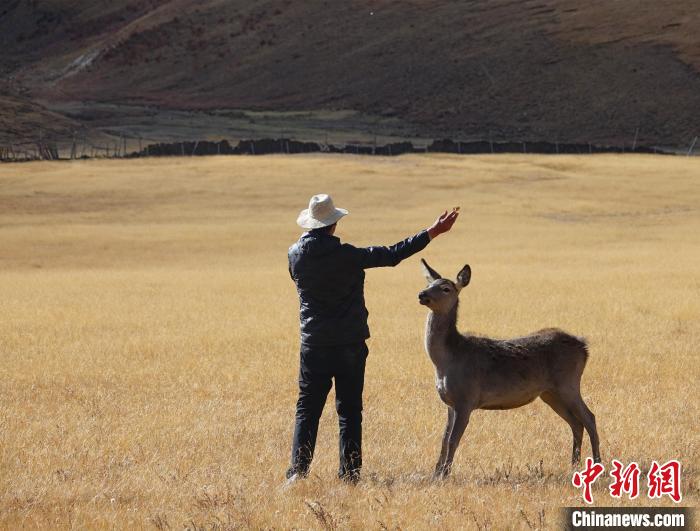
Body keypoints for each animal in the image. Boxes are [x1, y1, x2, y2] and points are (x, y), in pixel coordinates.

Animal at [418, 260, 600, 480]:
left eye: (446, 288)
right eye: (429, 284)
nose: (422, 294)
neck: (446, 361)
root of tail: (584, 347)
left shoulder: (466, 398)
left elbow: (453, 439)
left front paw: (444, 475)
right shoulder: (450, 403)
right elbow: (444, 439)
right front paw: (435, 474)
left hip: (568, 383)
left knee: (590, 418)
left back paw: (597, 464)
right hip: (550, 393)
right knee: (576, 423)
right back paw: (574, 465)